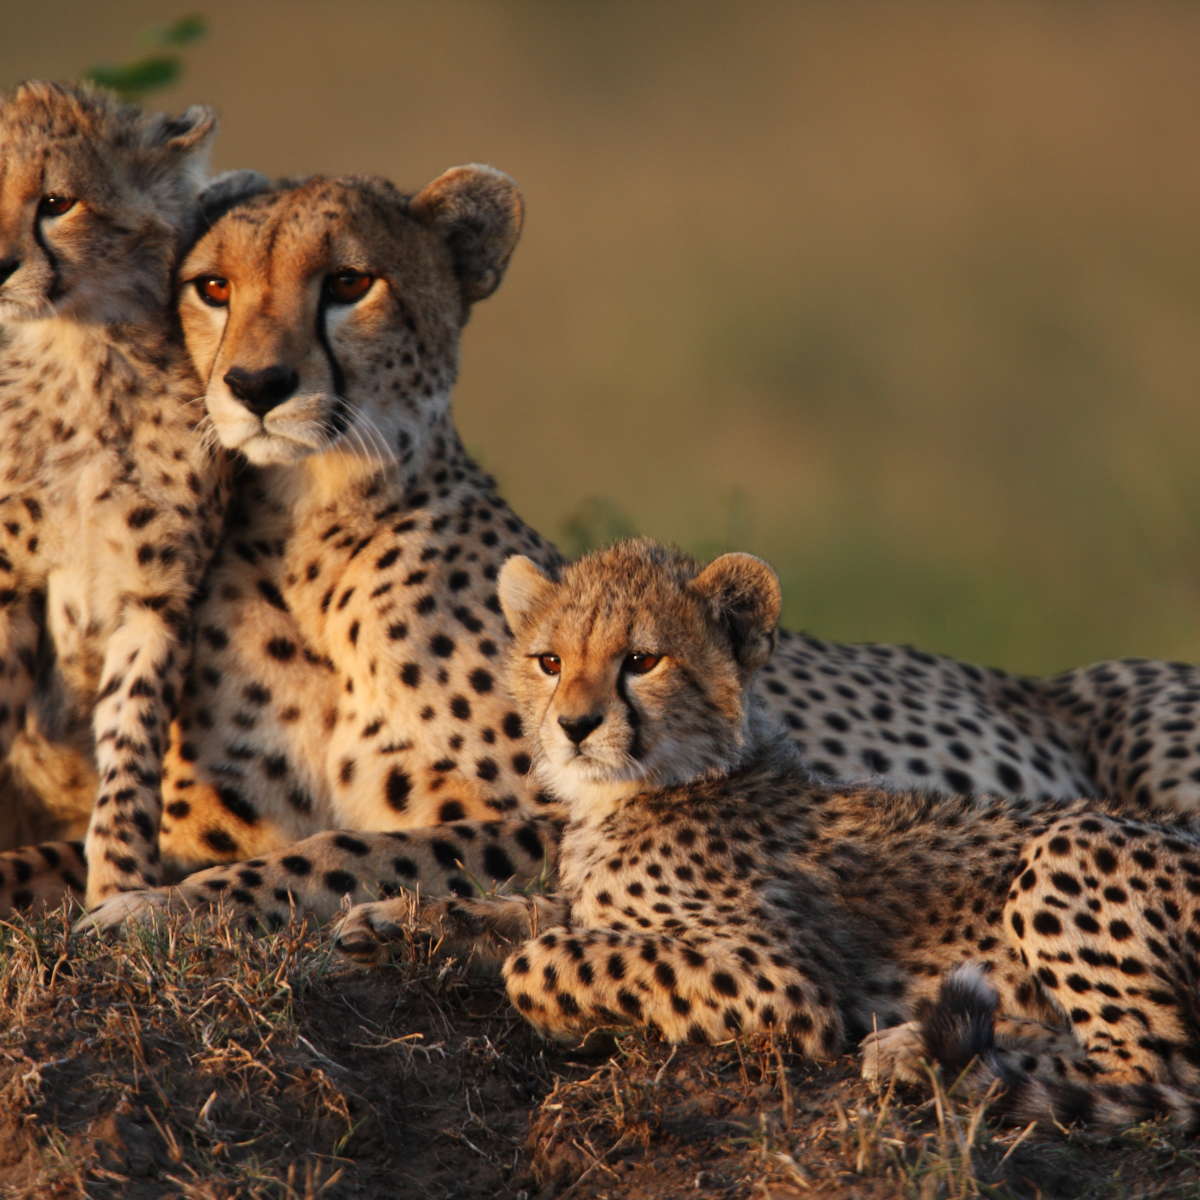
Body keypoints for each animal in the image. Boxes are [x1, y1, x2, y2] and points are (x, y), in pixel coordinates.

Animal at [0, 81, 264, 908]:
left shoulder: (156, 597)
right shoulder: (8, 584)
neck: (78, 350)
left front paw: (119, 881)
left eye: (58, 202)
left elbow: (132, 741)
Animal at [334, 539, 1200, 1132]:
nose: (574, 726)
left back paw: (920, 1056)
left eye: (641, 660)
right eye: (548, 661)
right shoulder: (587, 901)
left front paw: (559, 1011)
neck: (649, 786)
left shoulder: (785, 984)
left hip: (1068, 850)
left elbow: (541, 955)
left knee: (1162, 1071)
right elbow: (521, 912)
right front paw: (390, 920)